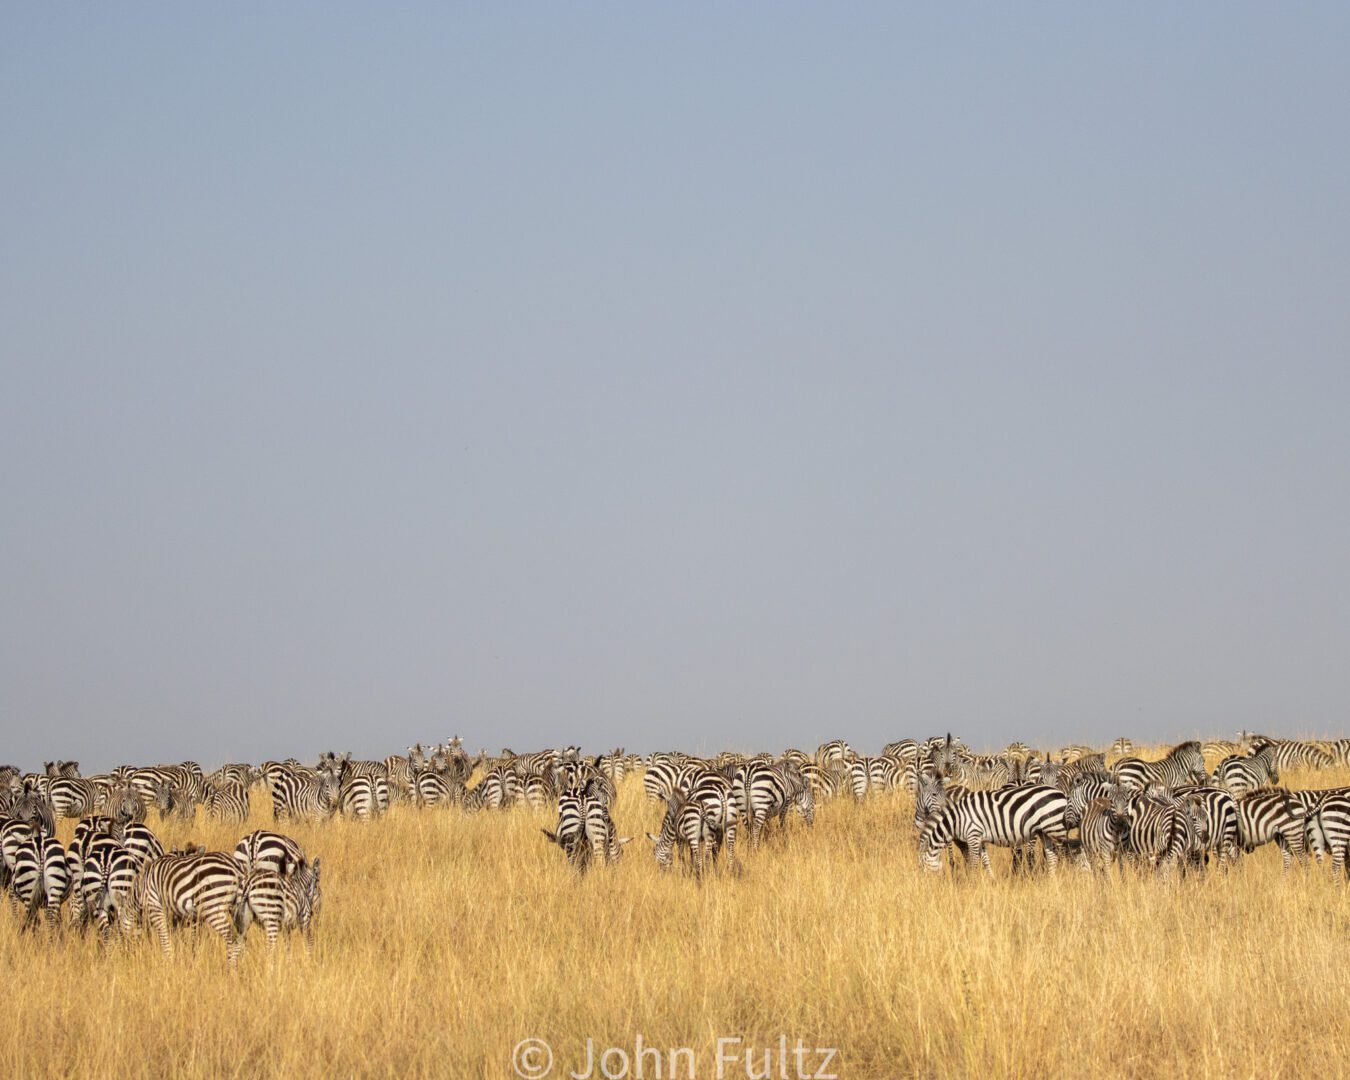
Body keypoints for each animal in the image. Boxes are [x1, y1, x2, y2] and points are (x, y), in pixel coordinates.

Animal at [912, 783, 1069, 874]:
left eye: (922, 868)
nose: (925, 887)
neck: (956, 819)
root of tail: (1061, 793)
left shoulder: (973, 835)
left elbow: (974, 863)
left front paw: (971, 883)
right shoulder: (979, 839)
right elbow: (986, 861)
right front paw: (991, 880)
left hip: (1056, 828)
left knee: (1063, 853)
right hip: (1045, 832)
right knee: (1052, 857)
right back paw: (1051, 879)